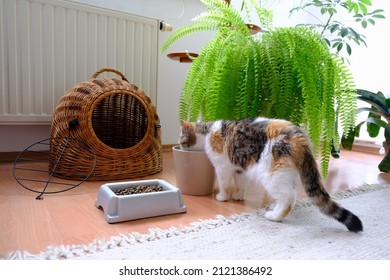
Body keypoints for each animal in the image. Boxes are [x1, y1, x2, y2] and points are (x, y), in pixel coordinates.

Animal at [179, 116, 362, 232]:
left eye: (181, 138)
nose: (178, 146)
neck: (207, 131)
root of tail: (300, 137)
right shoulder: (239, 167)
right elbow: (239, 183)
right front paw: (238, 196)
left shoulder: (222, 167)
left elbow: (224, 184)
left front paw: (222, 197)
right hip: (286, 174)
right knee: (288, 195)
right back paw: (274, 207)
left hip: (273, 176)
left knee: (289, 198)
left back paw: (274, 216)